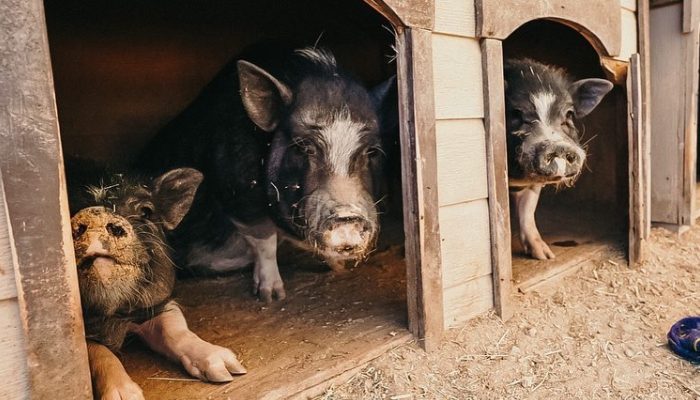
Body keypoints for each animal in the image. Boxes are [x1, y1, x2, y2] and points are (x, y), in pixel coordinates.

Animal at [66, 167, 246, 398]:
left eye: (146, 211)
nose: (97, 213)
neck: (114, 314)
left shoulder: (158, 301)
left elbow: (174, 329)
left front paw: (229, 371)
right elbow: (98, 351)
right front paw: (127, 396)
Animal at [504, 58, 612, 260]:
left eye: (569, 114)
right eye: (516, 114)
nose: (559, 147)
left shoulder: (533, 183)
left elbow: (527, 211)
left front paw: (545, 256)